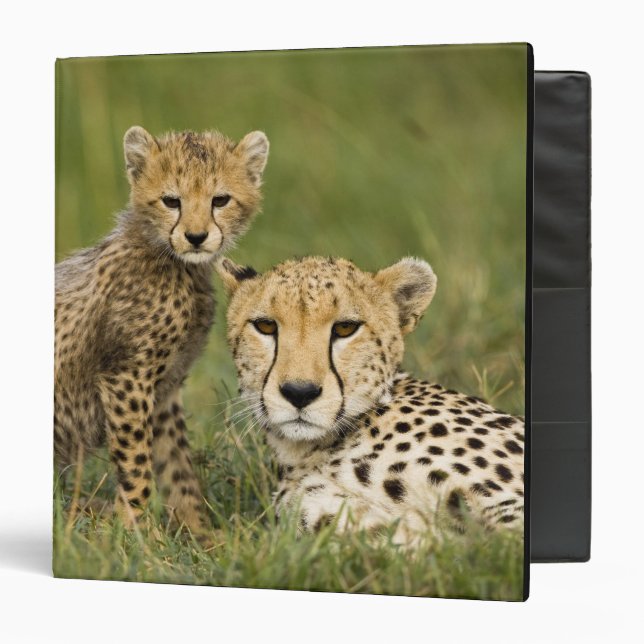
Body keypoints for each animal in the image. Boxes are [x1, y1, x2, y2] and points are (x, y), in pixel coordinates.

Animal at [55, 125, 269, 540]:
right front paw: (136, 536)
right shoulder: (127, 379)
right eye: (172, 201)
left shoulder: (165, 388)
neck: (175, 264)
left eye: (220, 200)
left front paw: (199, 534)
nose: (197, 237)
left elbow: (177, 467)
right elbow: (136, 465)